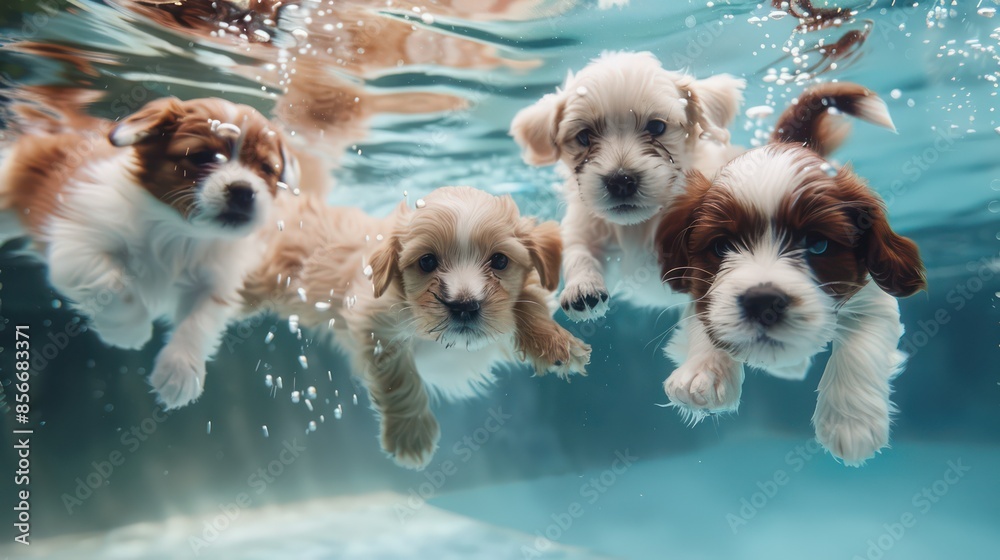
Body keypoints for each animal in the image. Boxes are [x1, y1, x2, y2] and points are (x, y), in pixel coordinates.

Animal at [0, 96, 298, 410]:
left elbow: (199, 322)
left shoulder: (216, 283)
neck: (181, 233)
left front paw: (181, 368)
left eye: (266, 168)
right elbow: (116, 289)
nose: (243, 190)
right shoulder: (77, 246)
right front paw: (129, 331)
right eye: (202, 156)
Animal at [243, 185, 588, 468]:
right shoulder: (374, 323)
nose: (464, 305)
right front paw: (410, 435)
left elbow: (530, 300)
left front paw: (555, 343)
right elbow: (399, 381)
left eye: (500, 261)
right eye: (427, 261)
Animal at [512, 51, 748, 324]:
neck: (637, 226)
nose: (620, 181)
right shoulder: (583, 227)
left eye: (656, 127)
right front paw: (582, 286)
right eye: (584, 136)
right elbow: (580, 252)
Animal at [652, 83, 924, 466]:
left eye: (818, 245)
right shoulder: (697, 287)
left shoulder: (875, 297)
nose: (763, 301)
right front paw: (703, 372)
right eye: (721, 246)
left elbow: (861, 345)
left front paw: (850, 423)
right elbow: (705, 318)